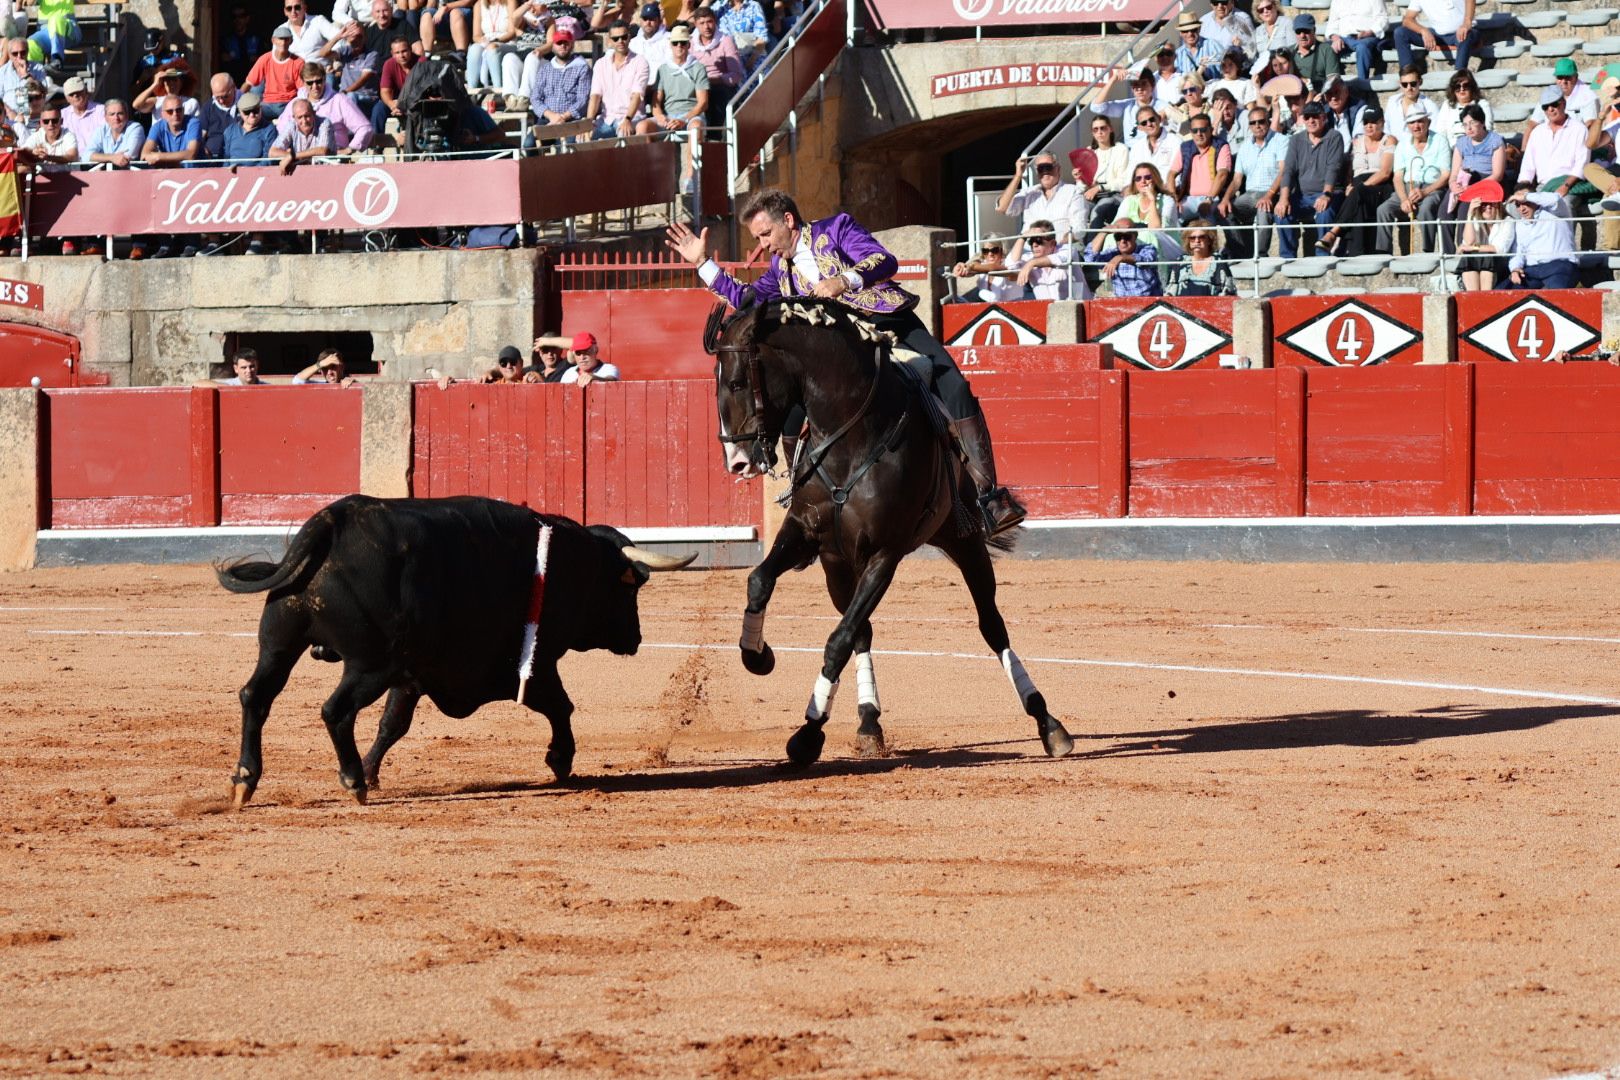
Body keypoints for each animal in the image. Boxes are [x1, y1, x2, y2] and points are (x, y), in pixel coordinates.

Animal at [213, 495, 690, 806]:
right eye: (630, 587)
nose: (636, 638)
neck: (571, 563)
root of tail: (333, 521)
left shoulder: (412, 674)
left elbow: (393, 724)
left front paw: (373, 769)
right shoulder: (529, 663)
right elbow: (560, 706)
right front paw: (560, 760)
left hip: (280, 642)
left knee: (256, 696)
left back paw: (244, 781)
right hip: (368, 665)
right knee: (336, 710)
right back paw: (351, 783)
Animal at [699, 297, 1069, 761]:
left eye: (735, 383)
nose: (737, 462)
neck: (849, 435)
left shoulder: (884, 553)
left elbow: (837, 640)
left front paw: (807, 733)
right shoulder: (810, 535)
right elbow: (760, 581)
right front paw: (758, 657)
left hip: (963, 539)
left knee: (991, 625)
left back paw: (1049, 723)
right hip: (839, 566)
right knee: (863, 631)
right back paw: (868, 721)